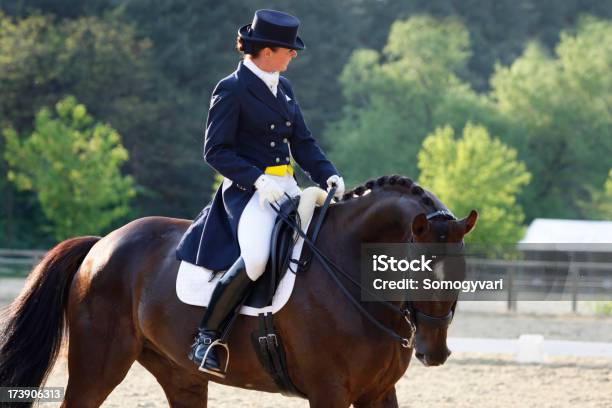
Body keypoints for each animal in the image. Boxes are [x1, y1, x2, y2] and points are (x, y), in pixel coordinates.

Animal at [0, 175, 478, 408]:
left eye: (462, 271)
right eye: (416, 271)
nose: (435, 352)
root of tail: (101, 244)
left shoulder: (378, 393)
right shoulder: (328, 392)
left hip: (180, 375)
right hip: (98, 365)